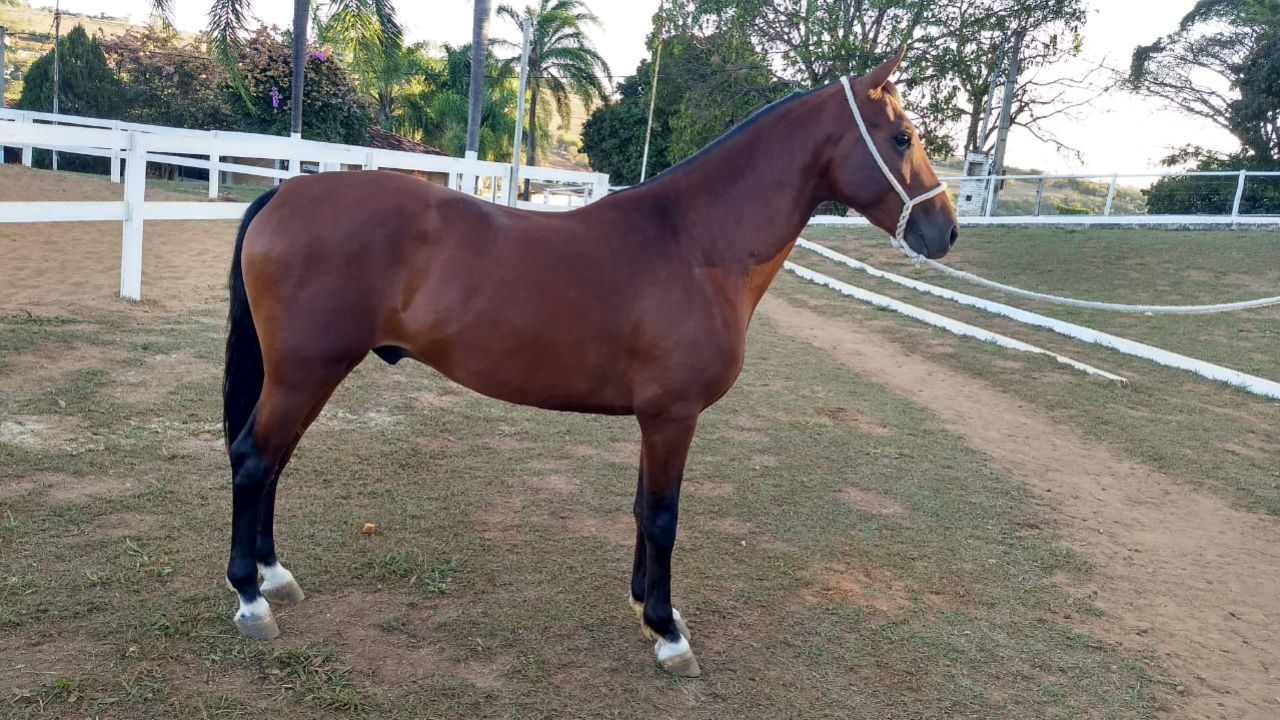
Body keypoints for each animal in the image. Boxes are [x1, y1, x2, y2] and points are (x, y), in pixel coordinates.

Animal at [221, 48, 957, 678]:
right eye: (901, 137)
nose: (945, 231)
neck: (696, 244)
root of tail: (283, 194)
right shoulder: (672, 417)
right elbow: (662, 516)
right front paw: (667, 633)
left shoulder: (655, 418)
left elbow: (641, 509)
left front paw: (646, 607)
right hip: (304, 372)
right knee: (255, 460)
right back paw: (250, 599)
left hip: (307, 375)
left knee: (276, 460)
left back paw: (275, 576)